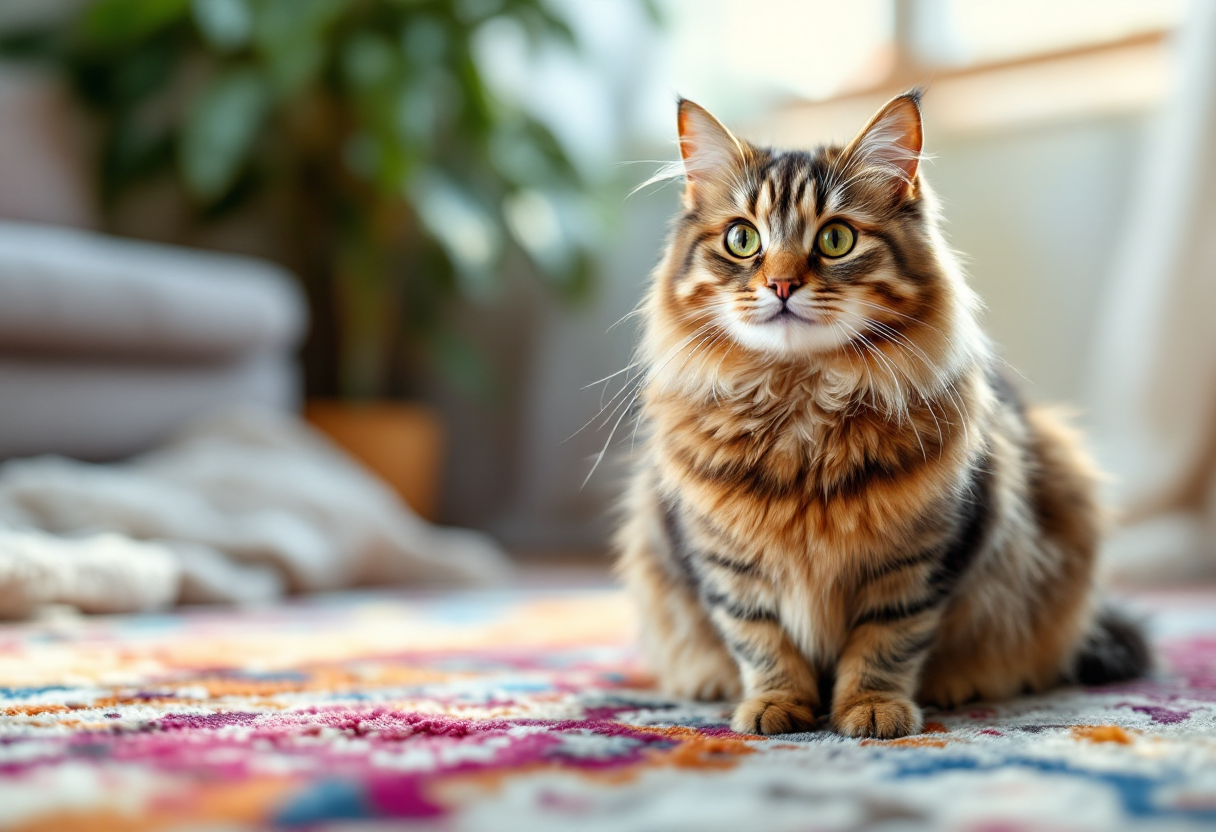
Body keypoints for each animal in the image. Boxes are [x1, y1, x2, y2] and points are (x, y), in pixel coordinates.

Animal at [617, 89, 1147, 739]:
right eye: (742, 240)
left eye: (835, 239)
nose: (782, 284)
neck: (801, 404)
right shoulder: (723, 561)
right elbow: (760, 640)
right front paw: (773, 707)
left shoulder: (918, 560)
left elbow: (886, 640)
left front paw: (872, 710)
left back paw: (959, 685)